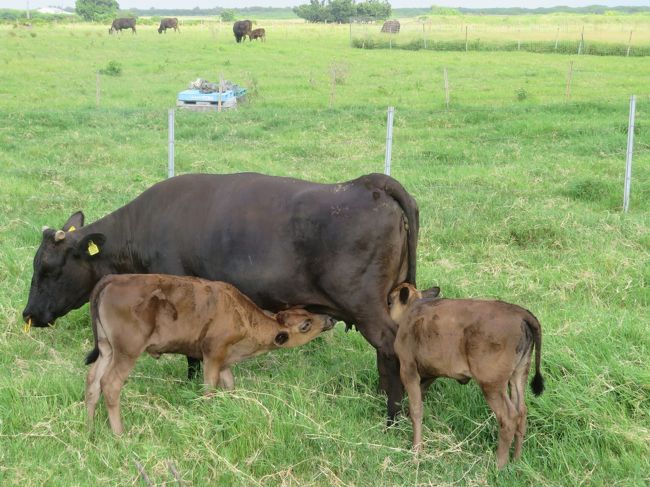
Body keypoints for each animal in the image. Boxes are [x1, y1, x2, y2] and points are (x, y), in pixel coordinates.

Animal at [84, 272, 334, 436]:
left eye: (307, 311)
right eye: (306, 325)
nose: (330, 319)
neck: (243, 316)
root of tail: (113, 279)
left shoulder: (225, 361)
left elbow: (230, 386)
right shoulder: (212, 354)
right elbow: (209, 389)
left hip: (107, 349)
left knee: (93, 380)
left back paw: (90, 428)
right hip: (127, 352)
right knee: (110, 384)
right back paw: (120, 435)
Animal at [388, 284, 544, 470]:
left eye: (390, 301)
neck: (413, 308)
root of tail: (520, 312)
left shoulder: (408, 368)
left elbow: (416, 409)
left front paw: (416, 450)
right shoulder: (430, 373)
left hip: (491, 384)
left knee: (508, 418)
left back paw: (499, 464)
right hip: (519, 374)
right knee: (521, 411)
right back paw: (516, 460)